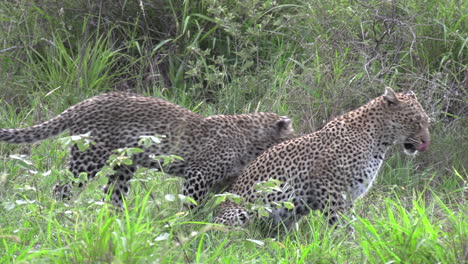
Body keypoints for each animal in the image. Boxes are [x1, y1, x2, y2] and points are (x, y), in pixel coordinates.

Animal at [0, 92, 294, 207]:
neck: (252, 140)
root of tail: (84, 102)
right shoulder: (198, 173)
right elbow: (191, 203)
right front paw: (187, 223)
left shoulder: (225, 181)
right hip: (88, 157)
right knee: (62, 188)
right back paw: (59, 213)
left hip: (123, 166)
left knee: (112, 196)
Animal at [214, 86, 430, 229]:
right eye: (417, 122)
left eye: (426, 121)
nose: (427, 141)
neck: (379, 141)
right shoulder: (330, 188)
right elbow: (340, 224)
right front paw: (346, 245)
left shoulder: (350, 195)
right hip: (243, 211)